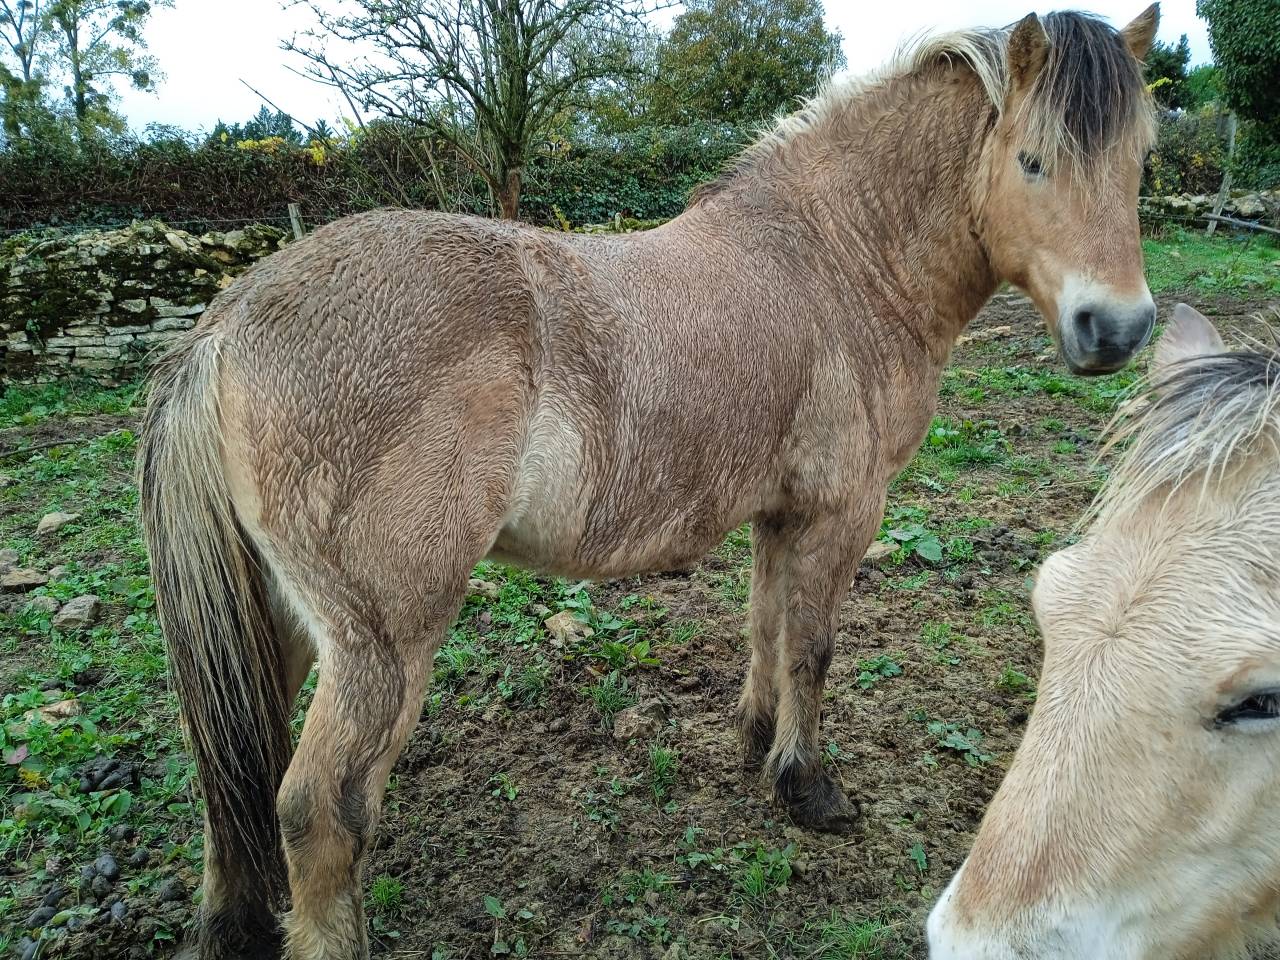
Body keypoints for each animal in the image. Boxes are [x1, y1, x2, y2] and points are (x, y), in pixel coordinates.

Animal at [139, 7, 1160, 959]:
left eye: (1141, 159)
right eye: (1033, 161)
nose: (1114, 329)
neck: (836, 259)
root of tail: (229, 323)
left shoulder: (779, 515)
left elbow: (765, 629)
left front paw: (757, 745)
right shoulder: (841, 515)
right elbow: (812, 648)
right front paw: (809, 787)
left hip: (279, 620)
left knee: (231, 774)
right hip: (380, 644)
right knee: (320, 809)